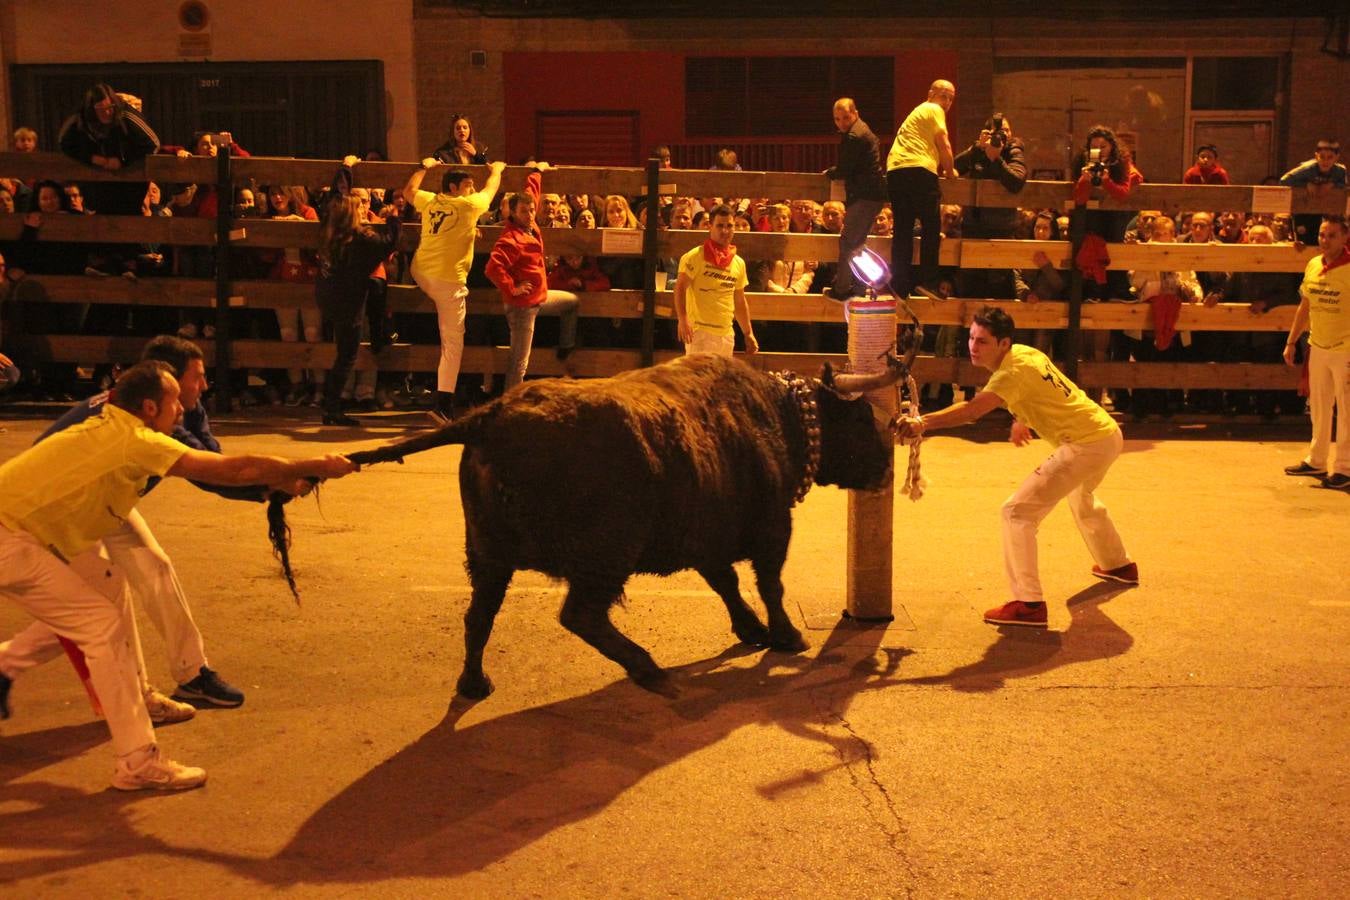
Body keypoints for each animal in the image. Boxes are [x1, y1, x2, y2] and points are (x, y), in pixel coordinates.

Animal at [348, 356, 907, 701]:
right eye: (862, 419)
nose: (885, 468)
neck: (777, 414)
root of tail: (490, 416)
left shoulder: (707, 536)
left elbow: (726, 583)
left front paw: (750, 629)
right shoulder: (772, 527)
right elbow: (769, 585)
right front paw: (786, 635)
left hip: (488, 556)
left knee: (478, 616)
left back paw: (473, 681)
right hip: (605, 555)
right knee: (580, 615)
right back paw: (647, 668)